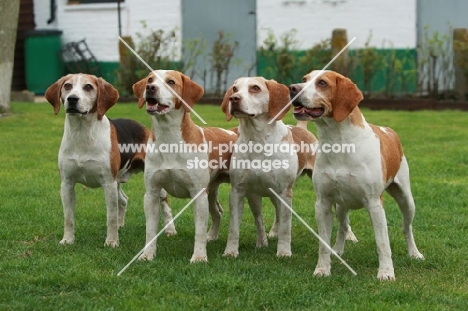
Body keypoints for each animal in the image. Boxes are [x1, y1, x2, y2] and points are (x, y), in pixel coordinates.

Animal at [45, 73, 176, 249]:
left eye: (88, 87)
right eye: (67, 86)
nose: (72, 99)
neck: (82, 133)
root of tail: (145, 128)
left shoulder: (108, 183)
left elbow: (111, 217)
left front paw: (112, 241)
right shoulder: (67, 184)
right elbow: (68, 217)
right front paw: (67, 240)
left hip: (151, 181)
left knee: (165, 204)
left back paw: (170, 229)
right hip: (117, 182)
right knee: (124, 200)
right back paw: (121, 225)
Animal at [133, 69, 238, 262]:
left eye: (171, 82)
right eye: (150, 79)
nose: (150, 88)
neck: (169, 140)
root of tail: (233, 133)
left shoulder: (198, 194)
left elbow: (199, 231)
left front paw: (199, 257)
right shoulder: (151, 193)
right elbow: (150, 231)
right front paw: (147, 255)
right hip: (211, 190)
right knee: (217, 212)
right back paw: (212, 236)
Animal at [220, 77, 316, 258]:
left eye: (255, 88)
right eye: (234, 89)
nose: (233, 99)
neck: (257, 140)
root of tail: (301, 128)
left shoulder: (285, 192)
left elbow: (286, 227)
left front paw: (284, 252)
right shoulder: (239, 191)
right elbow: (235, 227)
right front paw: (231, 252)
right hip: (263, 195)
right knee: (267, 216)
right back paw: (266, 238)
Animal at [290, 70, 422, 280]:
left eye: (322, 83)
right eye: (304, 79)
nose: (292, 88)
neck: (338, 143)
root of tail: (388, 130)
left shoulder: (375, 204)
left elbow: (383, 244)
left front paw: (386, 273)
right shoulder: (323, 203)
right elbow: (323, 244)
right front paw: (322, 269)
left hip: (406, 200)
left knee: (406, 227)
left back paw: (414, 253)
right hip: (341, 206)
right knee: (343, 227)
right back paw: (338, 250)